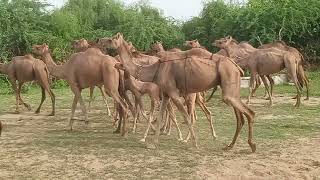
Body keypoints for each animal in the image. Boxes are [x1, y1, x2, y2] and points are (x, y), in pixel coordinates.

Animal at [97, 33, 255, 153]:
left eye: (110, 39)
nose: (100, 40)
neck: (155, 70)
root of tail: (236, 66)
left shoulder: (173, 93)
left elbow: (185, 116)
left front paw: (194, 143)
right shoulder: (166, 94)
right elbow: (161, 115)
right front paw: (153, 143)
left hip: (227, 84)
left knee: (249, 112)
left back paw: (251, 145)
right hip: (229, 88)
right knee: (240, 115)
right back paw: (230, 145)